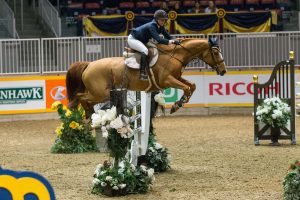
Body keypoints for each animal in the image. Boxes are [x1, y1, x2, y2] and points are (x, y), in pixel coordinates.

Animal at [65, 38, 225, 115]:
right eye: (215, 52)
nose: (223, 71)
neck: (175, 56)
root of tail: (89, 64)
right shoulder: (167, 80)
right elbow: (186, 88)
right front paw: (176, 105)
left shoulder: (176, 78)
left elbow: (192, 86)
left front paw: (178, 104)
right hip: (100, 93)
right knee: (81, 97)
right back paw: (87, 115)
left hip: (99, 93)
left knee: (83, 99)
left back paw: (88, 116)